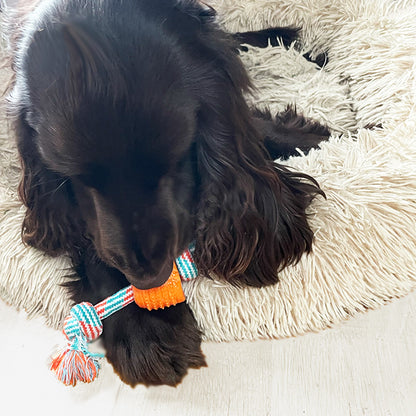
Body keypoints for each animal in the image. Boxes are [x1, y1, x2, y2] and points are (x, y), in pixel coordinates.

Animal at [7, 0, 328, 386]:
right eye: (78, 178)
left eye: (172, 163)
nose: (150, 278)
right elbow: (87, 241)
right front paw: (147, 329)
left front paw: (329, 134)